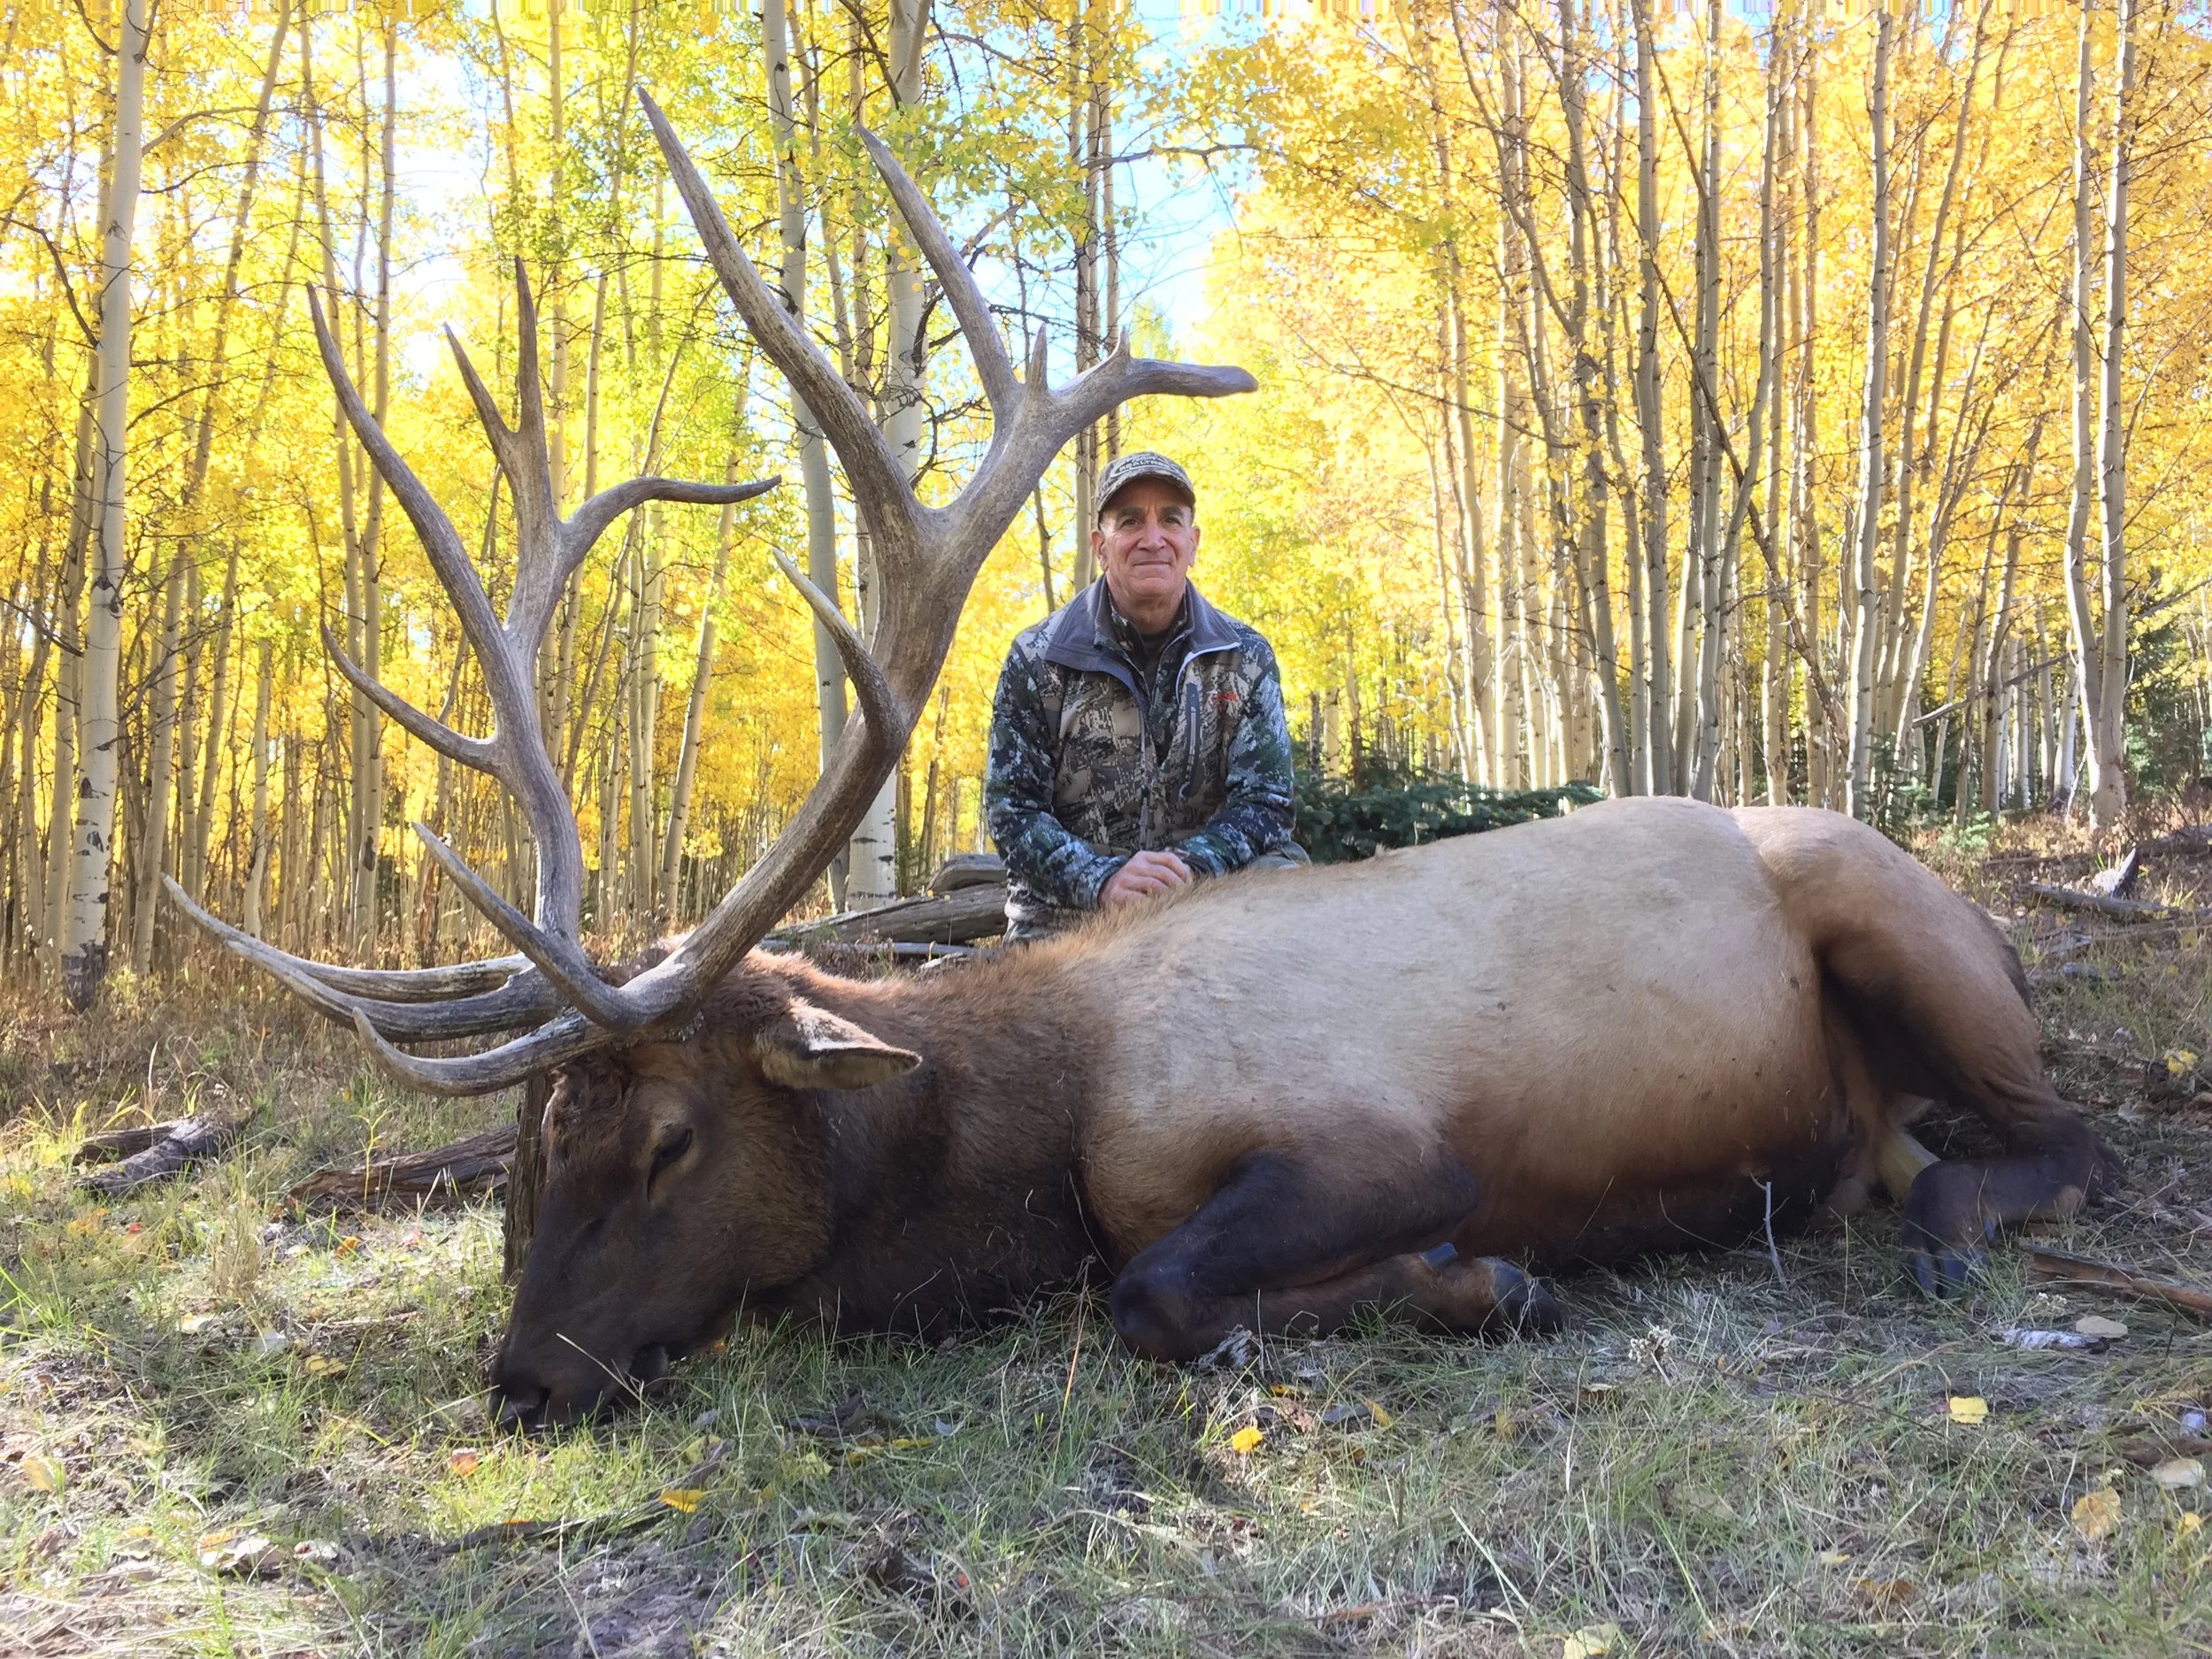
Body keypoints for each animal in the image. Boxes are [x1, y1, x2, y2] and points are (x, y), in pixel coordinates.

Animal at [168, 96, 2117, 1427]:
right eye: (523, 1147)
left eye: (664, 1139)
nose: (523, 1377)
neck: (1041, 1126)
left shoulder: (1369, 1134)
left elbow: (1164, 1289)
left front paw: (1486, 1280)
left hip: (1891, 912)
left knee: (2055, 1131)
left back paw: (1947, 1216)